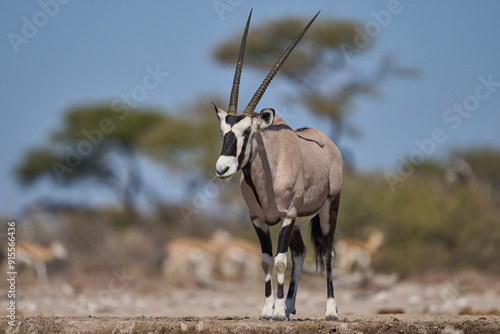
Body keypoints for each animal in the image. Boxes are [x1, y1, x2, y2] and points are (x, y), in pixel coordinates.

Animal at [211, 9, 344, 320]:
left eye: (247, 132)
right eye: (223, 132)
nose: (222, 169)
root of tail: (328, 142)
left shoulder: (286, 216)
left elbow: (280, 261)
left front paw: (278, 312)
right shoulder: (258, 219)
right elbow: (266, 260)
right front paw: (267, 309)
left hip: (328, 208)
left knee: (327, 253)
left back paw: (330, 310)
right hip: (298, 223)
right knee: (301, 251)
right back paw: (292, 304)